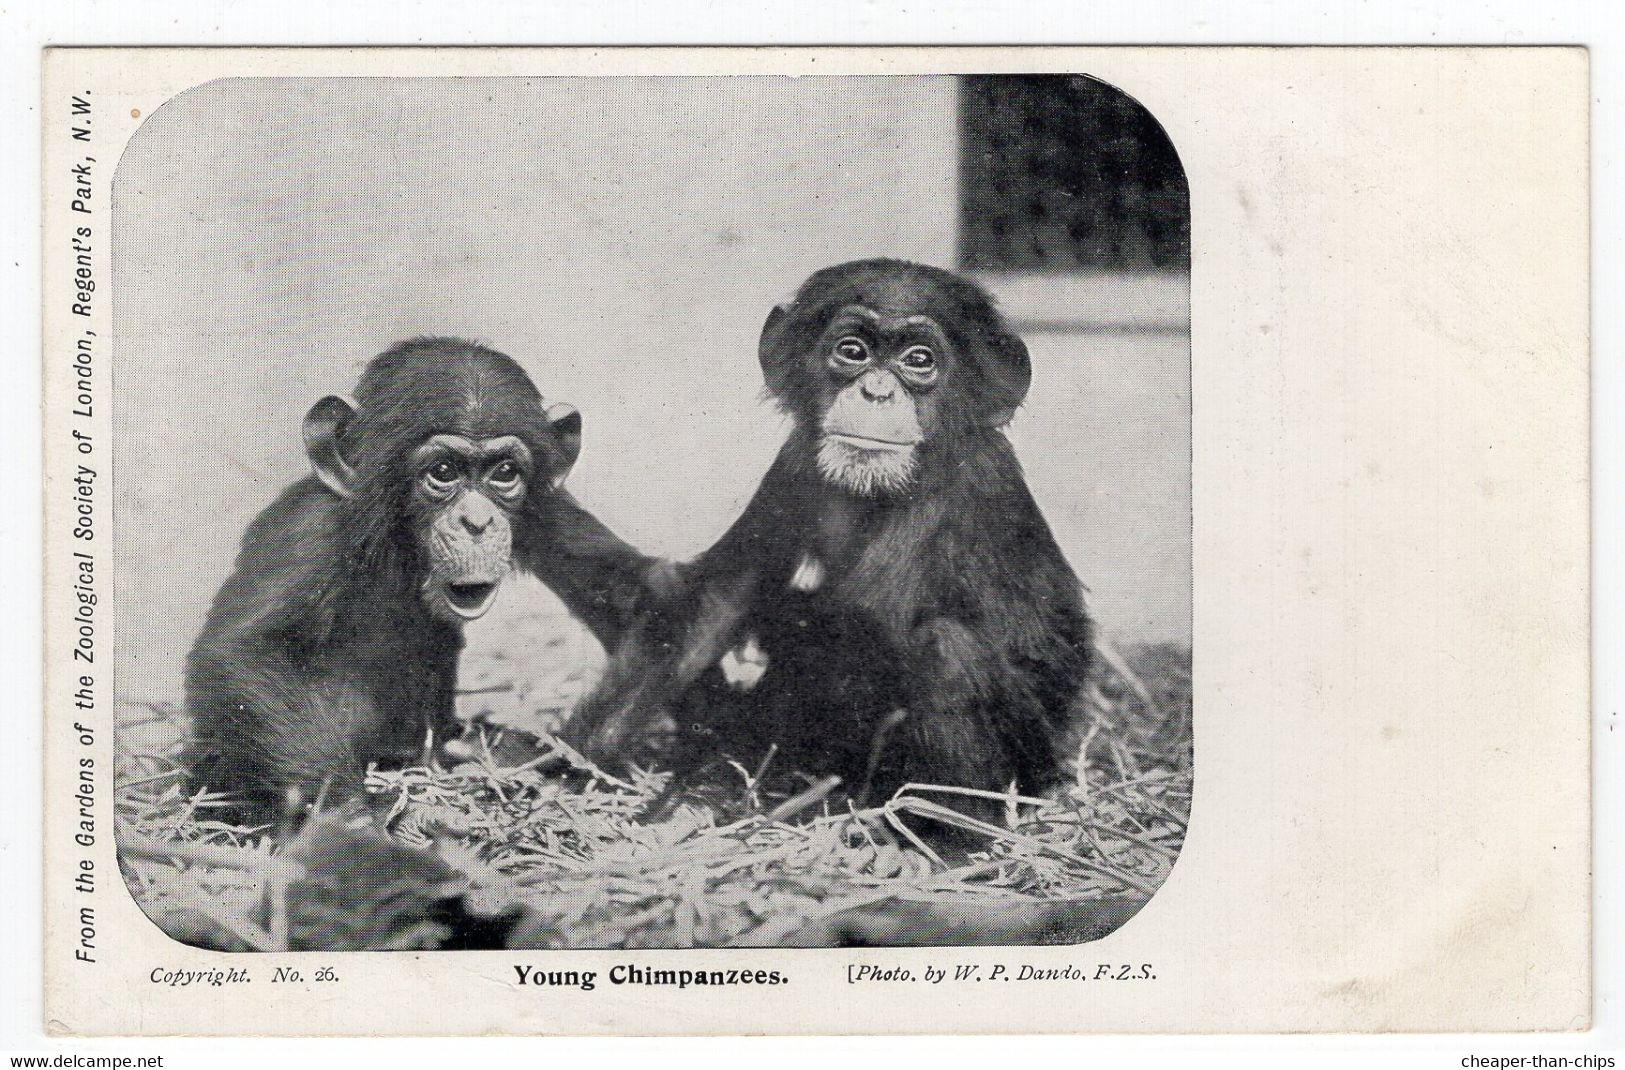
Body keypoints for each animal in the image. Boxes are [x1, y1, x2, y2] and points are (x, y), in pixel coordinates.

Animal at [191, 338, 666, 819]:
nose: (477, 521)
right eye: (442, 472)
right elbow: (247, 652)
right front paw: (351, 818)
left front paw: (543, 759)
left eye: (505, 473)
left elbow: (644, 597)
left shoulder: (551, 509)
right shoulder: (310, 528)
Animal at [568, 258, 1092, 816]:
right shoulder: (792, 465)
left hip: (1030, 768)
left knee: (947, 650)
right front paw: (582, 753)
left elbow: (858, 620)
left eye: (919, 360)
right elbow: (718, 600)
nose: (877, 391)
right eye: (853, 351)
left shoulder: (965, 485)